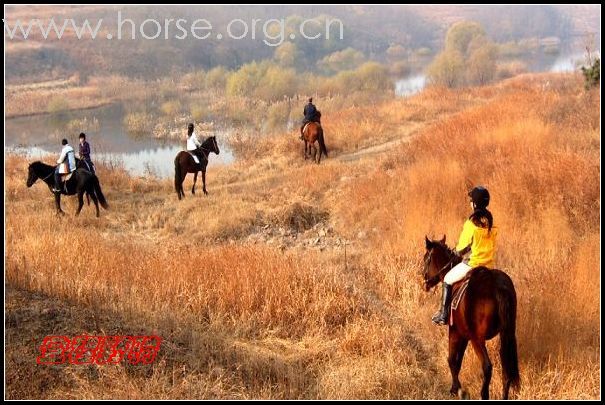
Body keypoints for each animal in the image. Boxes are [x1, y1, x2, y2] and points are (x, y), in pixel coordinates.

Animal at [420, 235, 520, 400]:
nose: (424, 283)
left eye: (425, 258)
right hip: (506, 334)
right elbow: (458, 361)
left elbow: (452, 360)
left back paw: (483, 394)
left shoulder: (455, 331)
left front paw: (457, 390)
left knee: (487, 366)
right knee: (506, 369)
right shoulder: (464, 334)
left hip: (477, 339)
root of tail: (498, 286)